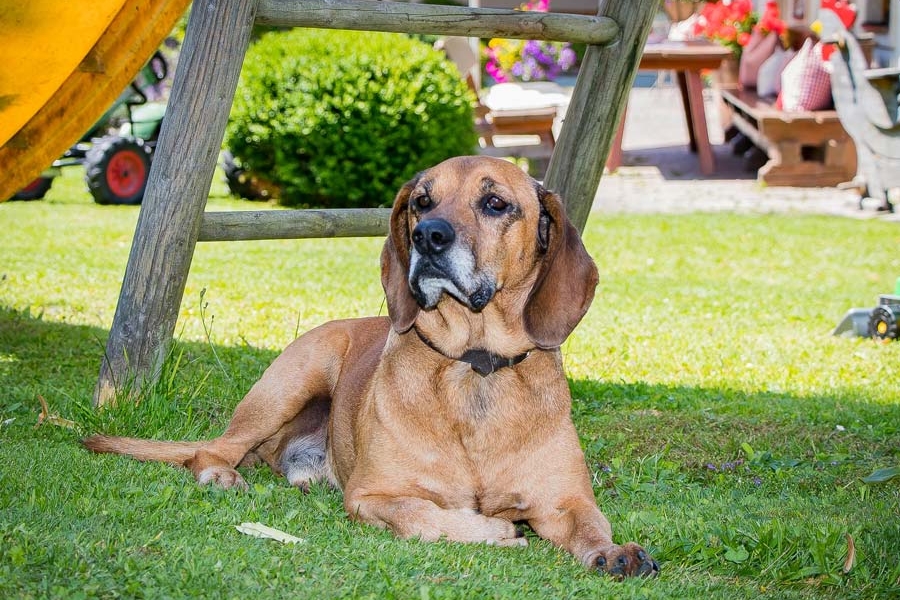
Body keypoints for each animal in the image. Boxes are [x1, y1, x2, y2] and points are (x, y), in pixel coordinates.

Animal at [82, 157, 660, 580]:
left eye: (496, 203)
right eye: (422, 201)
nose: (429, 235)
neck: (474, 368)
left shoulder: (564, 500)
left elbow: (592, 524)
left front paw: (613, 550)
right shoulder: (371, 496)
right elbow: (424, 517)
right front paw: (494, 531)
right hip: (291, 381)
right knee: (211, 451)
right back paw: (221, 475)